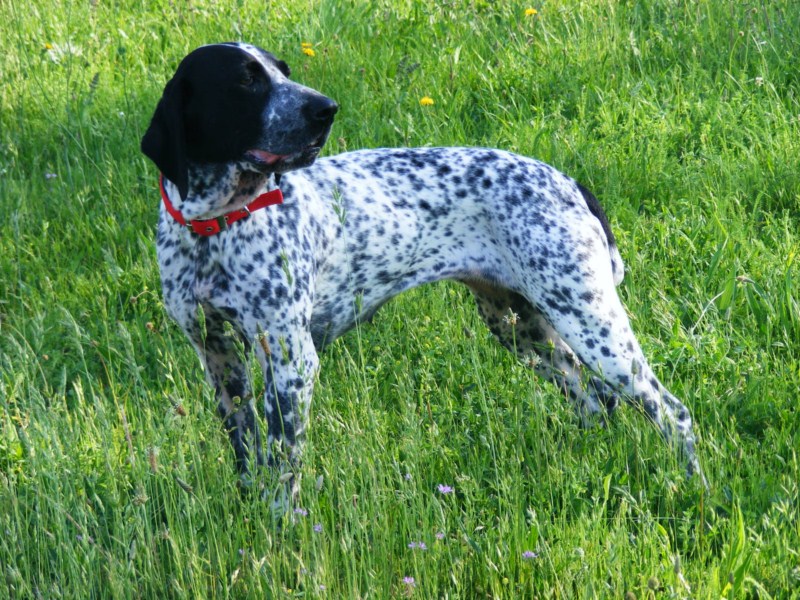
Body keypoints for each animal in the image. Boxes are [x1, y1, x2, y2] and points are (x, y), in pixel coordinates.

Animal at [141, 41, 704, 506]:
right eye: (246, 81)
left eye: (283, 71)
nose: (325, 109)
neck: (214, 227)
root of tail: (567, 181)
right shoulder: (218, 359)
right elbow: (247, 455)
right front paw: (250, 518)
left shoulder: (290, 361)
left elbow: (283, 471)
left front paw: (281, 536)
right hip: (523, 329)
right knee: (596, 404)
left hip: (592, 326)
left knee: (671, 411)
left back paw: (695, 490)